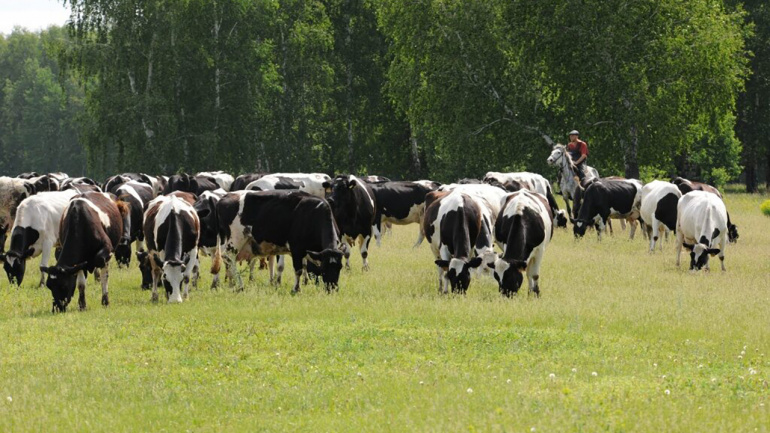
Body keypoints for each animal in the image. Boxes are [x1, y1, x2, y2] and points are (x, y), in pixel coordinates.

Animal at [214, 190, 344, 293]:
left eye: (340, 267)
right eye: (324, 268)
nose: (332, 288)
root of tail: (224, 197)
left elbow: (303, 266)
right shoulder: (296, 249)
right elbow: (298, 270)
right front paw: (296, 289)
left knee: (226, 261)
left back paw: (231, 284)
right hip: (236, 239)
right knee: (228, 257)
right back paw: (240, 286)